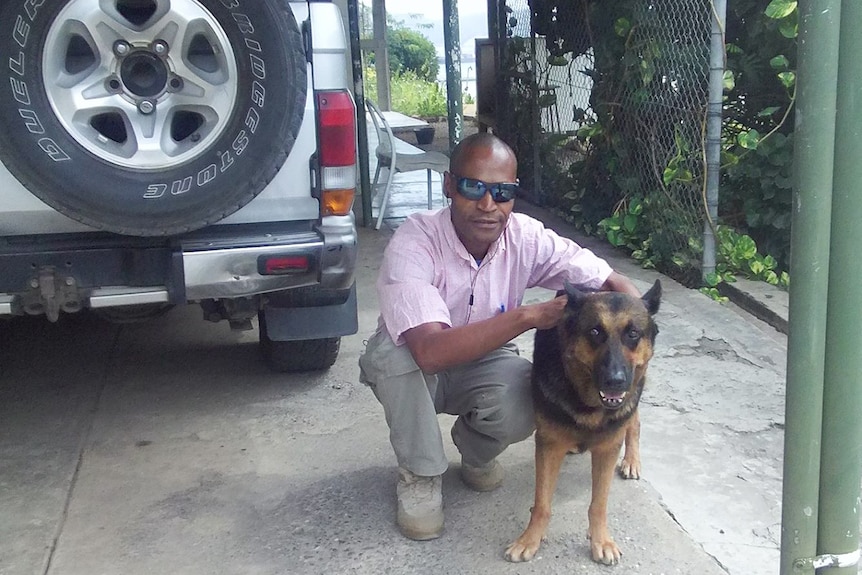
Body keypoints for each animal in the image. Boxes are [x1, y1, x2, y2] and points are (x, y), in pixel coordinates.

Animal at [506, 282, 660, 564]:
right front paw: (530, 539)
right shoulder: (548, 445)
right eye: (595, 331)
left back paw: (632, 460)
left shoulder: (608, 448)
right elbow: (542, 503)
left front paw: (601, 540)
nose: (615, 381)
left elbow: (598, 504)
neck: (589, 405)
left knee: (634, 422)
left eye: (633, 333)